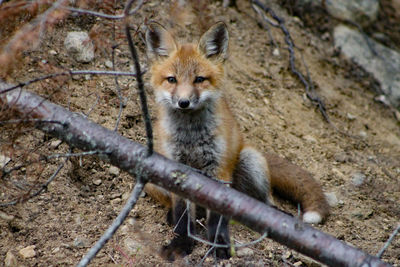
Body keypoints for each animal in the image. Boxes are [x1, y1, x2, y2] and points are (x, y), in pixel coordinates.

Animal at [144, 21, 328, 262]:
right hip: (152, 180)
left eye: (199, 79)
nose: (183, 102)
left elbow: (217, 217)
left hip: (250, 162)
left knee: (264, 201)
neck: (191, 135)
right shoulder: (175, 168)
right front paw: (181, 242)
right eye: (172, 79)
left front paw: (219, 244)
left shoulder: (219, 170)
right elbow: (183, 216)